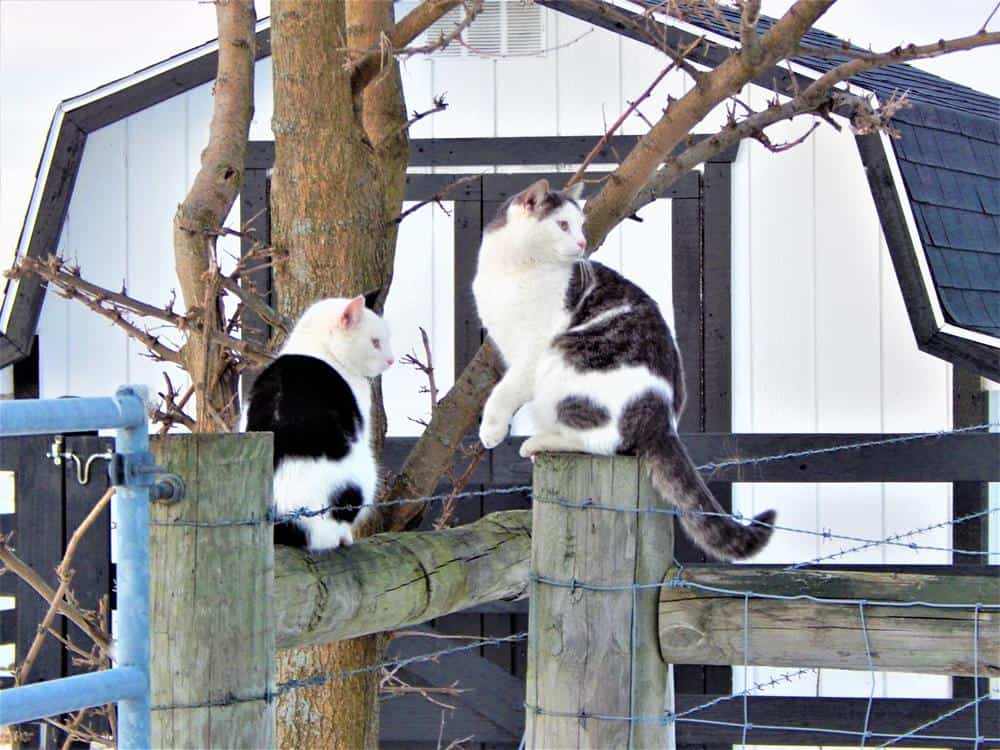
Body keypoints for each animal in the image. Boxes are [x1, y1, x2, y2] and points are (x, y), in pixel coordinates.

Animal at [472, 179, 776, 560]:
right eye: (563, 225)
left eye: (580, 225)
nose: (582, 243)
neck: (515, 269)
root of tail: (662, 421)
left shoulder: (531, 353)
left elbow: (502, 392)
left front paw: (492, 430)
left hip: (563, 359)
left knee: (602, 441)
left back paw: (541, 441)